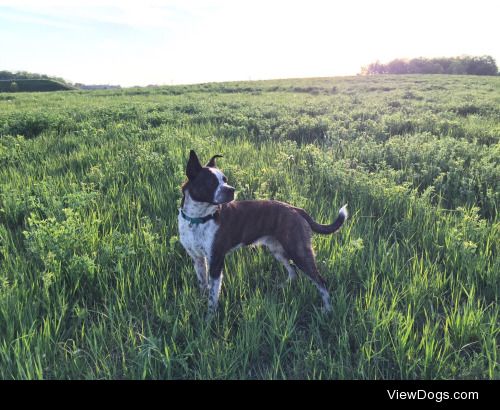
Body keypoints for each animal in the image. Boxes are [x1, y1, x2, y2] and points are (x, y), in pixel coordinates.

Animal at [179, 151, 348, 318]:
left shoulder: (216, 260)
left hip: (299, 252)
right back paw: (283, 287)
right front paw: (200, 304)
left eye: (225, 180)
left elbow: (213, 296)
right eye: (211, 182)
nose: (232, 189)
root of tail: (296, 209)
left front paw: (209, 319)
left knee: (320, 281)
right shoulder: (198, 259)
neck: (198, 218)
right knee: (293, 271)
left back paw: (328, 310)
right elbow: (204, 286)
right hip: (278, 250)